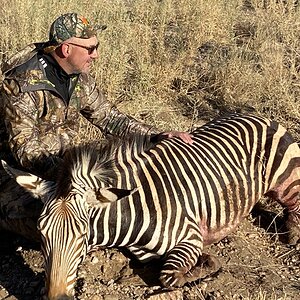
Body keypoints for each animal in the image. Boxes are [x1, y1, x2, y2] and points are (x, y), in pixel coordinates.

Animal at [2, 113, 300, 300]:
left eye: (84, 236)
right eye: (41, 234)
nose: (57, 297)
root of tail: (255, 114)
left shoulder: (190, 237)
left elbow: (170, 277)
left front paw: (207, 265)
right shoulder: (147, 253)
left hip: (284, 179)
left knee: (293, 203)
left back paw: (291, 235)